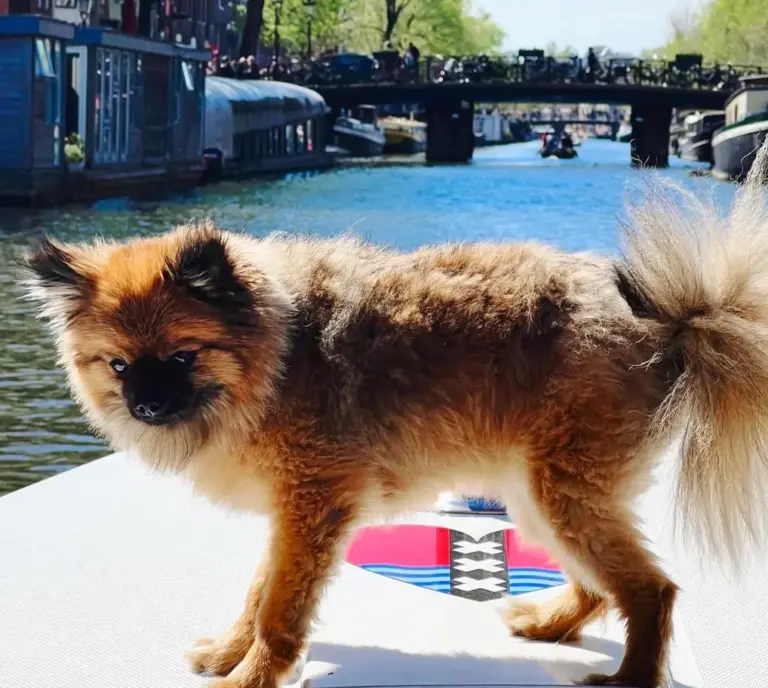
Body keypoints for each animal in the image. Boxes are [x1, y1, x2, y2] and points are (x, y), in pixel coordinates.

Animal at [21, 150, 768, 688]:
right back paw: (551, 622)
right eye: (119, 366)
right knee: (600, 585)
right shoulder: (293, 514)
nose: (147, 406)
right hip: (540, 496)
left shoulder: (312, 506)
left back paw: (631, 678)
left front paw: (251, 678)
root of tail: (676, 322)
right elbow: (259, 592)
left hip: (563, 494)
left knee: (651, 591)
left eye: (182, 357)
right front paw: (232, 651)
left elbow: (279, 610)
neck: (277, 355)